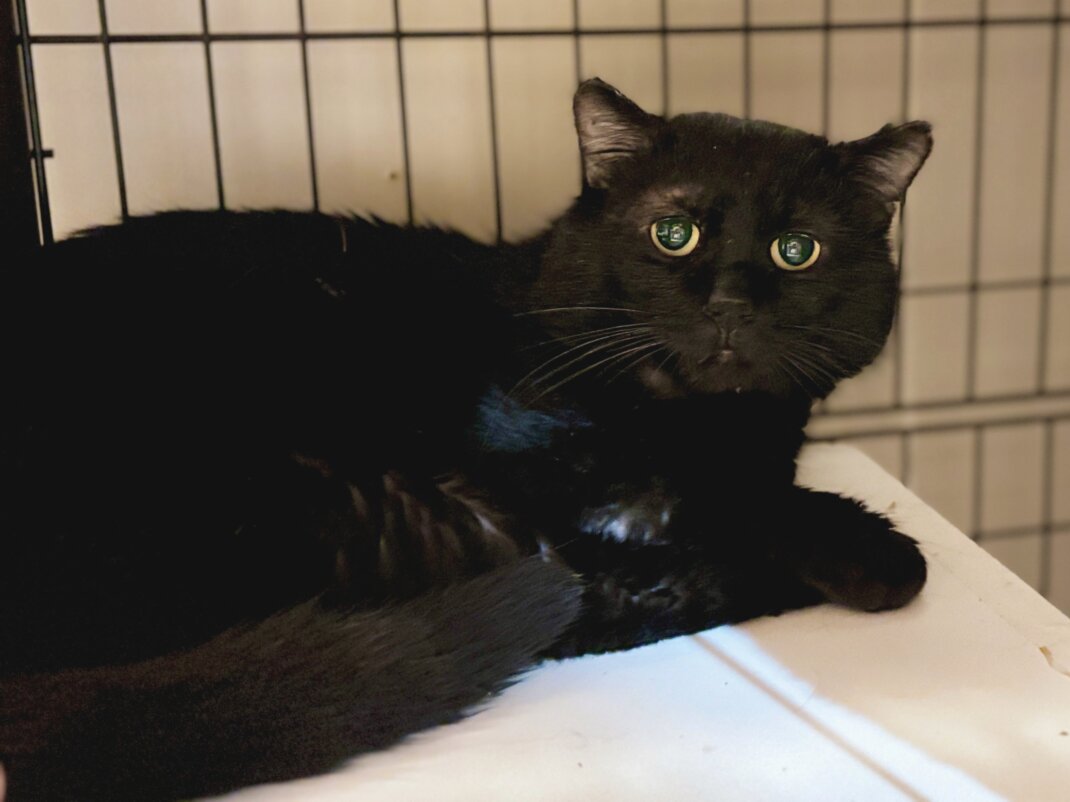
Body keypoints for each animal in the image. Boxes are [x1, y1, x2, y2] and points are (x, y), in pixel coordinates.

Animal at [0, 77, 931, 800]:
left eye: (797, 250)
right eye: (674, 234)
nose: (732, 302)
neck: (699, 420)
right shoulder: (536, 473)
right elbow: (704, 505)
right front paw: (866, 547)